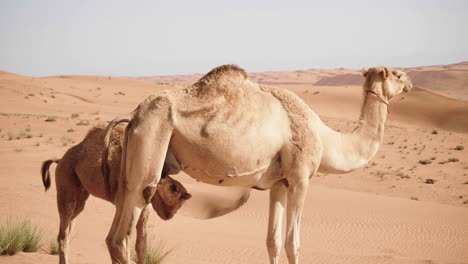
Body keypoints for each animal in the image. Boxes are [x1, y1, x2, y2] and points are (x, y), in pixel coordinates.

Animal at [40, 124, 190, 264]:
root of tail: (59, 160)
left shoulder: (143, 207)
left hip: (81, 194)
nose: (171, 214)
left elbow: (141, 247)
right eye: (174, 189)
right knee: (63, 232)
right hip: (66, 182)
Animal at [103, 64, 414, 264]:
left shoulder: (279, 183)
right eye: (398, 74)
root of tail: (134, 116)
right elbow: (292, 243)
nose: (411, 84)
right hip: (153, 136)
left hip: (131, 159)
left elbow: (272, 242)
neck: (327, 139)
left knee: (116, 230)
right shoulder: (300, 178)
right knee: (123, 234)